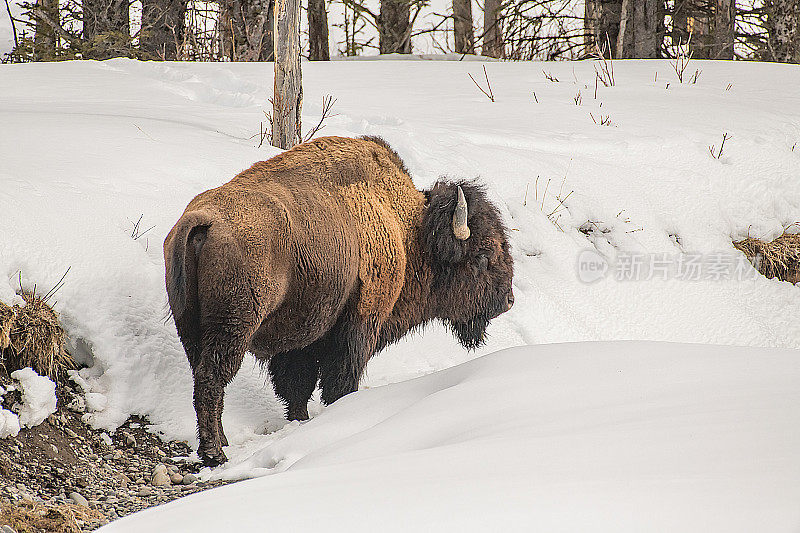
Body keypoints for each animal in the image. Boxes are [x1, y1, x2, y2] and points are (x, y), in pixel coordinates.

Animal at [166, 136, 516, 466]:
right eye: (483, 256)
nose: (508, 300)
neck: (407, 230)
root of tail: (201, 220)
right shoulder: (358, 325)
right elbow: (338, 381)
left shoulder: (302, 337)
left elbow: (297, 385)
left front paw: (300, 421)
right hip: (233, 327)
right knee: (212, 378)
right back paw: (214, 452)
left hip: (190, 325)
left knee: (201, 377)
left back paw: (221, 442)